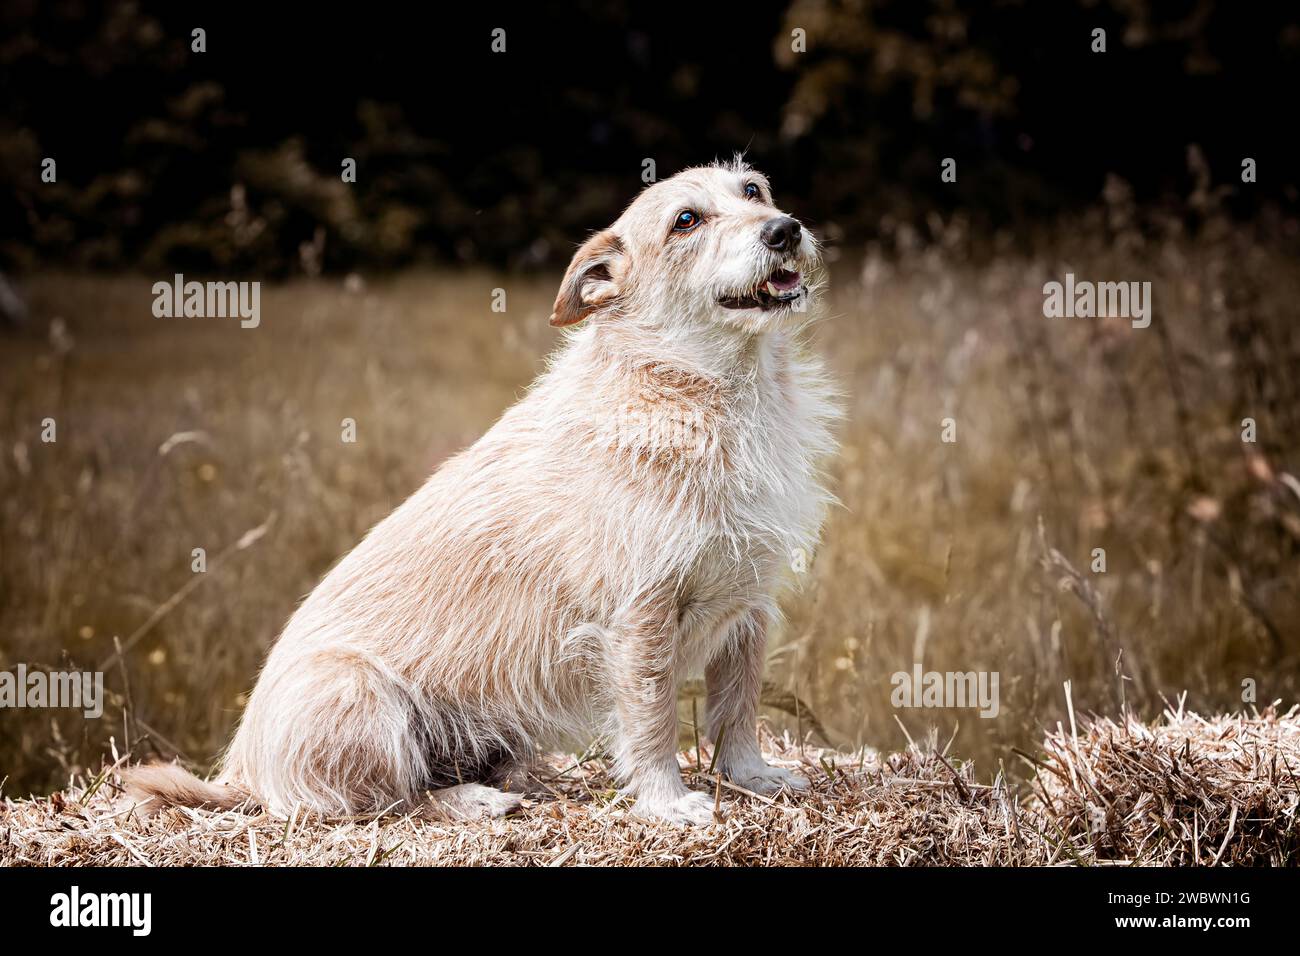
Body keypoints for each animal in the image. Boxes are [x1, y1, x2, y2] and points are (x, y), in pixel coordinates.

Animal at [126, 157, 842, 822]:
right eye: (686, 221)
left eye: (754, 190)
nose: (784, 229)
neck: (708, 393)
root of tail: (238, 774)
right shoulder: (639, 619)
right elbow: (652, 721)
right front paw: (667, 802)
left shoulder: (751, 603)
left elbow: (738, 707)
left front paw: (752, 777)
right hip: (358, 693)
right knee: (382, 800)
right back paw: (470, 801)